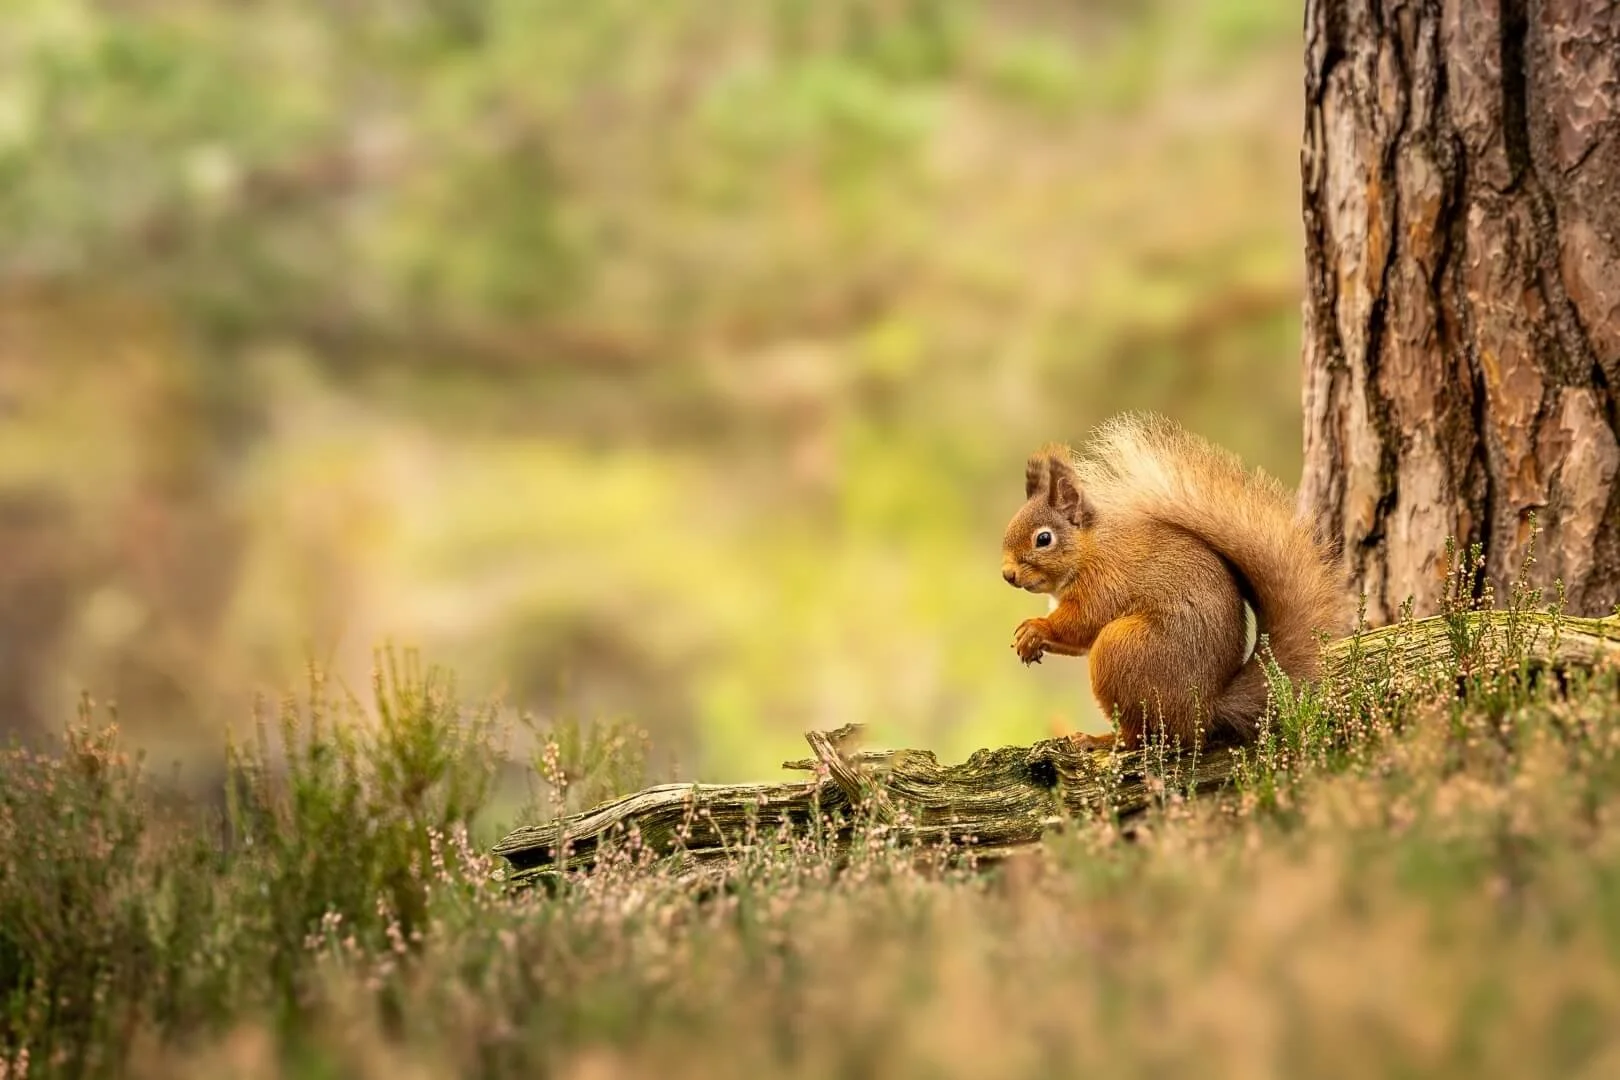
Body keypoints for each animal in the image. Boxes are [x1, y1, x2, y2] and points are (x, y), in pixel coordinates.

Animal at [1000, 412, 1345, 752]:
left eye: (1044, 539)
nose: (1007, 574)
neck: (1090, 549)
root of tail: (1203, 710)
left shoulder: (1105, 581)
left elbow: (1083, 620)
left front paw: (1036, 628)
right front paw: (1029, 642)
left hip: (1122, 650)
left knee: (1138, 735)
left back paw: (1101, 740)